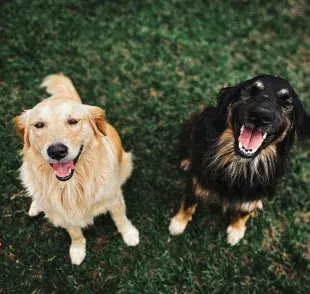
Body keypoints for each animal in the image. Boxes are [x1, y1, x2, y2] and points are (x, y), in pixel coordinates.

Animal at [168, 74, 308, 245]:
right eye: (250, 90)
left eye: (286, 102)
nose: (261, 116)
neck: (240, 163)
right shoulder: (196, 181)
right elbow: (188, 203)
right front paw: (178, 223)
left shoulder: (254, 194)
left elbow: (244, 211)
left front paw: (236, 231)